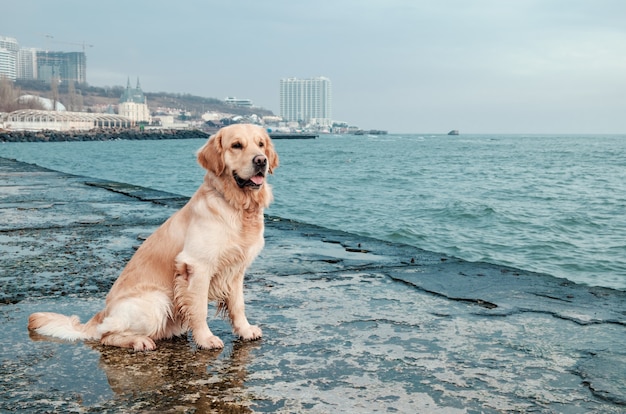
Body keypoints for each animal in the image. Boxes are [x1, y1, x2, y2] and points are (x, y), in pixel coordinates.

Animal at [28, 124, 278, 350]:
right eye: (236, 145)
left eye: (260, 144)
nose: (261, 161)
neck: (237, 207)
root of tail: (103, 312)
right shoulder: (196, 266)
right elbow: (199, 309)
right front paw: (206, 339)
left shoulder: (236, 269)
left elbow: (238, 305)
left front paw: (245, 330)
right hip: (157, 300)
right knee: (106, 335)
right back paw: (139, 341)